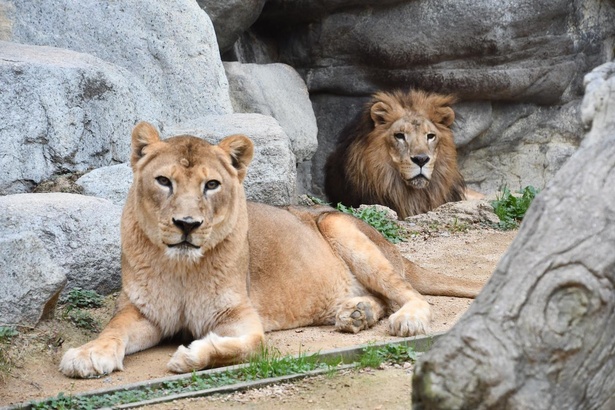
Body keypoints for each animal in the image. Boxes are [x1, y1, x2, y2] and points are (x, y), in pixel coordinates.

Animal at [59, 121, 482, 378]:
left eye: (211, 185)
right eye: (164, 181)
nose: (187, 225)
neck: (182, 268)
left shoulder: (240, 317)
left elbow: (246, 346)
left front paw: (191, 354)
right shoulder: (142, 311)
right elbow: (113, 329)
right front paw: (89, 353)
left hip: (339, 224)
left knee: (409, 294)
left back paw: (403, 319)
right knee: (379, 298)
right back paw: (355, 313)